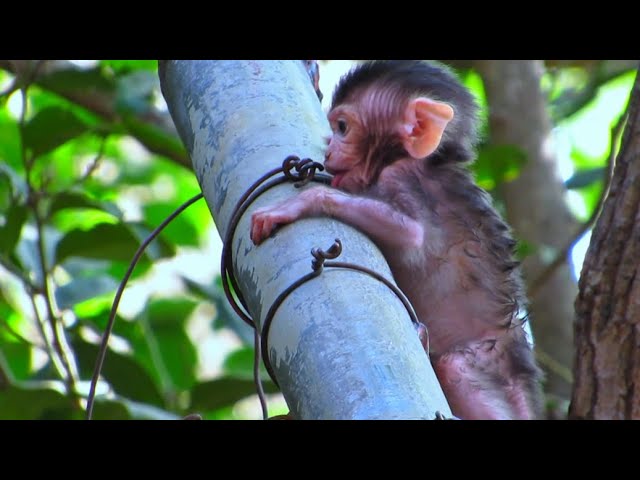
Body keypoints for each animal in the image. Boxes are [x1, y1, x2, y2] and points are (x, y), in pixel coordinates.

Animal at [250, 61, 540, 420]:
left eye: (343, 127)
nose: (330, 147)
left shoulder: (400, 178)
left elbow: (412, 234)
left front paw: (304, 203)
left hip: (488, 360)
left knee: (455, 367)